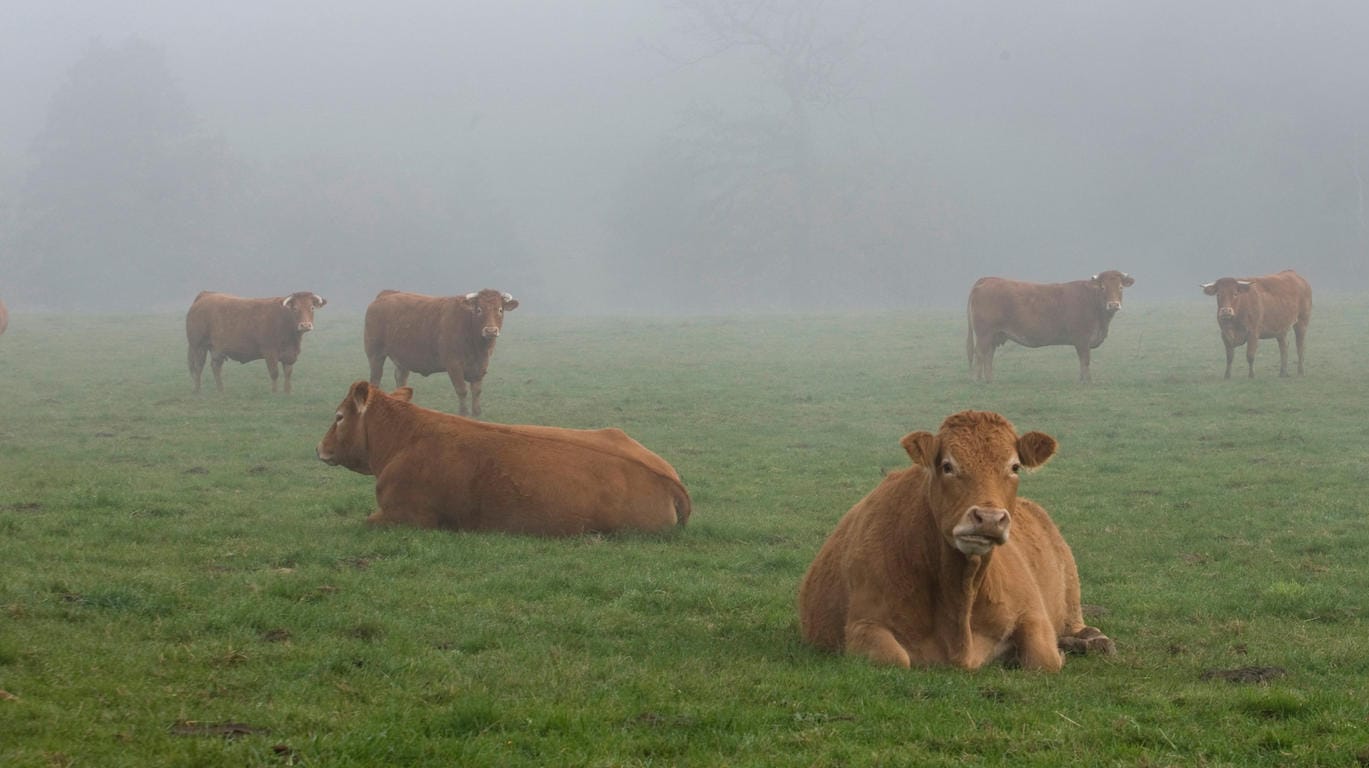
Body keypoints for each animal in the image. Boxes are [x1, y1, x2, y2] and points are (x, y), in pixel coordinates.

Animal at [186, 290, 327, 391]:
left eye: (312, 308)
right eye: (295, 308)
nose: (305, 325)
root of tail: (206, 295)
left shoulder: (290, 354)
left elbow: (288, 373)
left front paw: (287, 392)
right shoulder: (270, 352)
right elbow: (274, 373)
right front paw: (274, 393)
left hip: (217, 349)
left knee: (215, 367)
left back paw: (221, 390)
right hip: (198, 346)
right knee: (198, 367)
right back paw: (198, 391)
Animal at [361, 288, 514, 418]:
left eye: (500, 310)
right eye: (479, 310)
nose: (490, 331)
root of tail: (386, 294)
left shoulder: (480, 366)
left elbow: (476, 391)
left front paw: (476, 414)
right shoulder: (454, 365)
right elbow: (462, 390)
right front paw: (463, 414)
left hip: (403, 359)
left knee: (401, 380)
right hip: (375, 354)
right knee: (375, 379)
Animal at [799, 410, 1117, 668]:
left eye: (1014, 467)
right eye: (948, 466)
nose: (988, 518)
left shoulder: (1032, 612)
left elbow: (1044, 659)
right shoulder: (863, 624)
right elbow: (895, 657)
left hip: (1070, 588)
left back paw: (1091, 640)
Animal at [969, 272, 1139, 386]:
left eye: (1120, 287)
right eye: (1103, 287)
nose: (1113, 304)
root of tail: (988, 279)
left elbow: (1082, 361)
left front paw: (1081, 380)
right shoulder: (1082, 339)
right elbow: (1085, 360)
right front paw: (1087, 381)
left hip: (994, 335)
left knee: (988, 355)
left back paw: (989, 380)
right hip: (984, 334)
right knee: (980, 354)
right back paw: (977, 380)